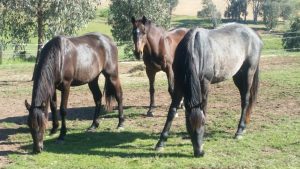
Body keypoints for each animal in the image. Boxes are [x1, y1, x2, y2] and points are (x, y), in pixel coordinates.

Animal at [155, 23, 262, 156]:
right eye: (189, 125)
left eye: (202, 123)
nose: (199, 152)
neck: (193, 49)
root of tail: (254, 34)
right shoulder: (179, 83)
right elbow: (172, 111)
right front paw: (160, 142)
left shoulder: (205, 83)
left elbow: (204, 108)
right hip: (238, 75)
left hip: (248, 73)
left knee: (245, 100)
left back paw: (239, 131)